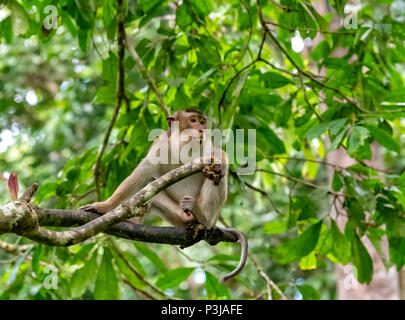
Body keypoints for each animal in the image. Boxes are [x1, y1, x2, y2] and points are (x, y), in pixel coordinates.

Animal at [79, 108, 246, 282]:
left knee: (219, 166)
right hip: (176, 216)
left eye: (202, 121)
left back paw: (203, 215)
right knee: (151, 189)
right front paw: (104, 207)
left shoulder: (206, 144)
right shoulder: (160, 145)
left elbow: (218, 154)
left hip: (210, 214)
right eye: (193, 120)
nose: (200, 129)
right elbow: (141, 175)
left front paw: (218, 165)